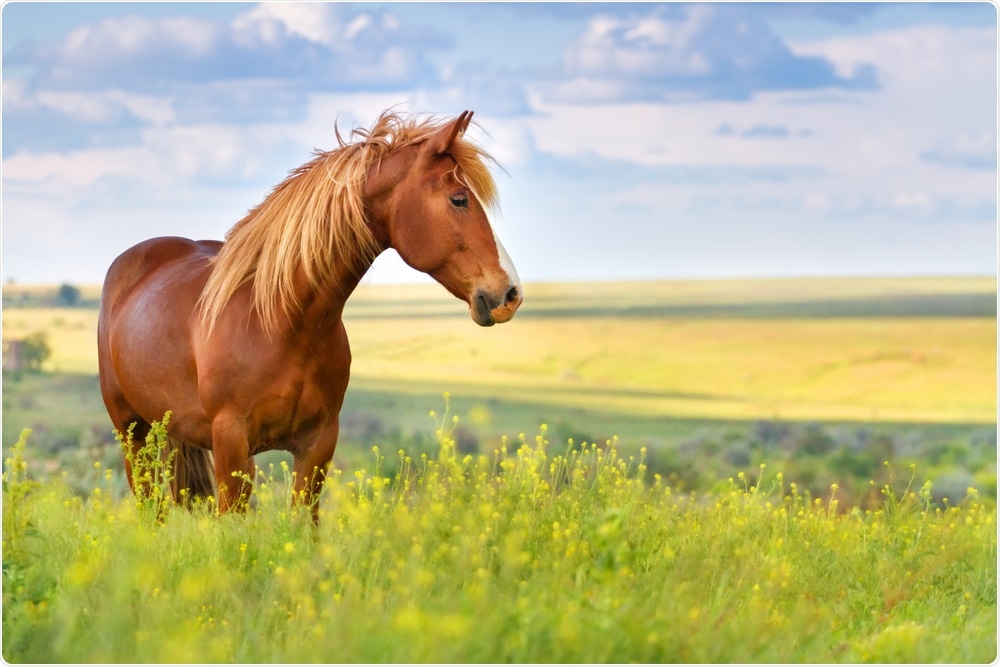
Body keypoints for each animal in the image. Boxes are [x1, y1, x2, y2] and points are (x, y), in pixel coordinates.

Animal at [97, 110, 522, 523]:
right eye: (459, 199)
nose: (510, 293)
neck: (281, 324)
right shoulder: (231, 444)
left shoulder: (317, 446)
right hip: (132, 434)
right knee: (150, 510)